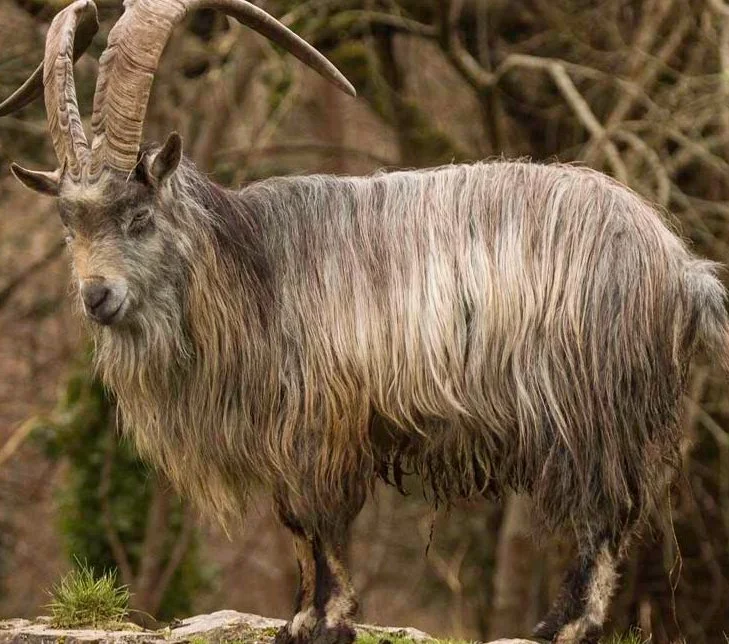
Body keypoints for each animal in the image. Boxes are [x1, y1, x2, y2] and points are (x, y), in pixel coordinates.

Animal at [2, 1, 727, 642]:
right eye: (69, 224)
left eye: (138, 215)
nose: (96, 297)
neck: (254, 269)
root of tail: (680, 266)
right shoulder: (288, 437)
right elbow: (296, 529)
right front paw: (298, 621)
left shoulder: (323, 426)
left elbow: (320, 525)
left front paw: (329, 620)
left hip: (588, 408)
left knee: (604, 516)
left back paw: (565, 625)